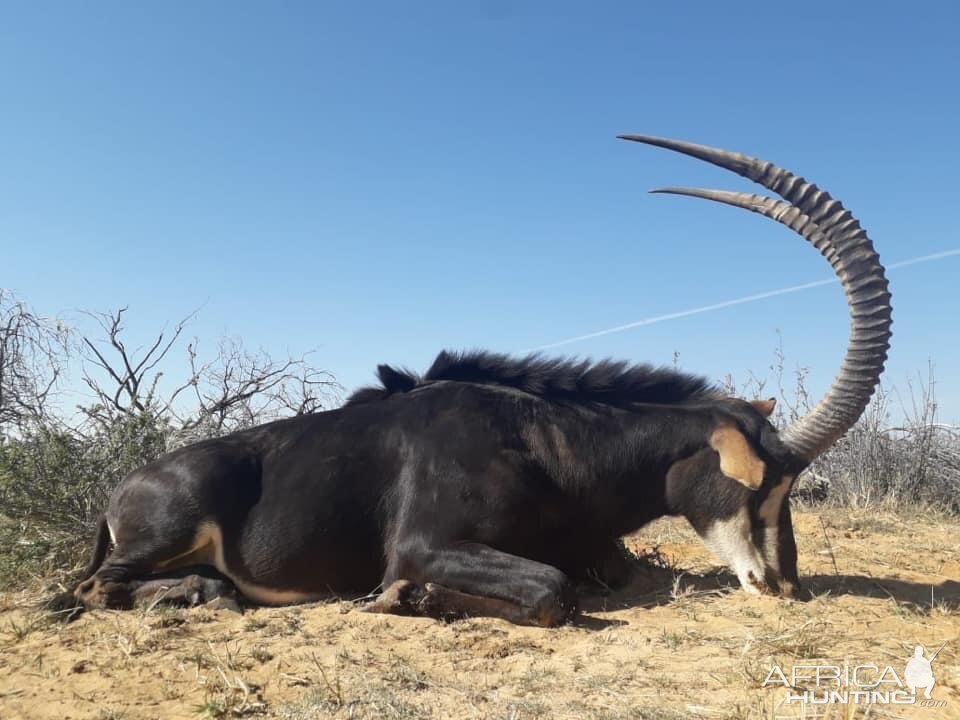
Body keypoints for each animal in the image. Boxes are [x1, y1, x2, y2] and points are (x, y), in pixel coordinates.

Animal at [73, 134, 892, 624]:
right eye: (761, 484)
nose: (785, 585)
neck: (542, 442)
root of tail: (123, 489)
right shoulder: (426, 543)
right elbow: (550, 590)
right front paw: (406, 598)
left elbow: (609, 571)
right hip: (170, 528)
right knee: (94, 587)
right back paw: (205, 593)